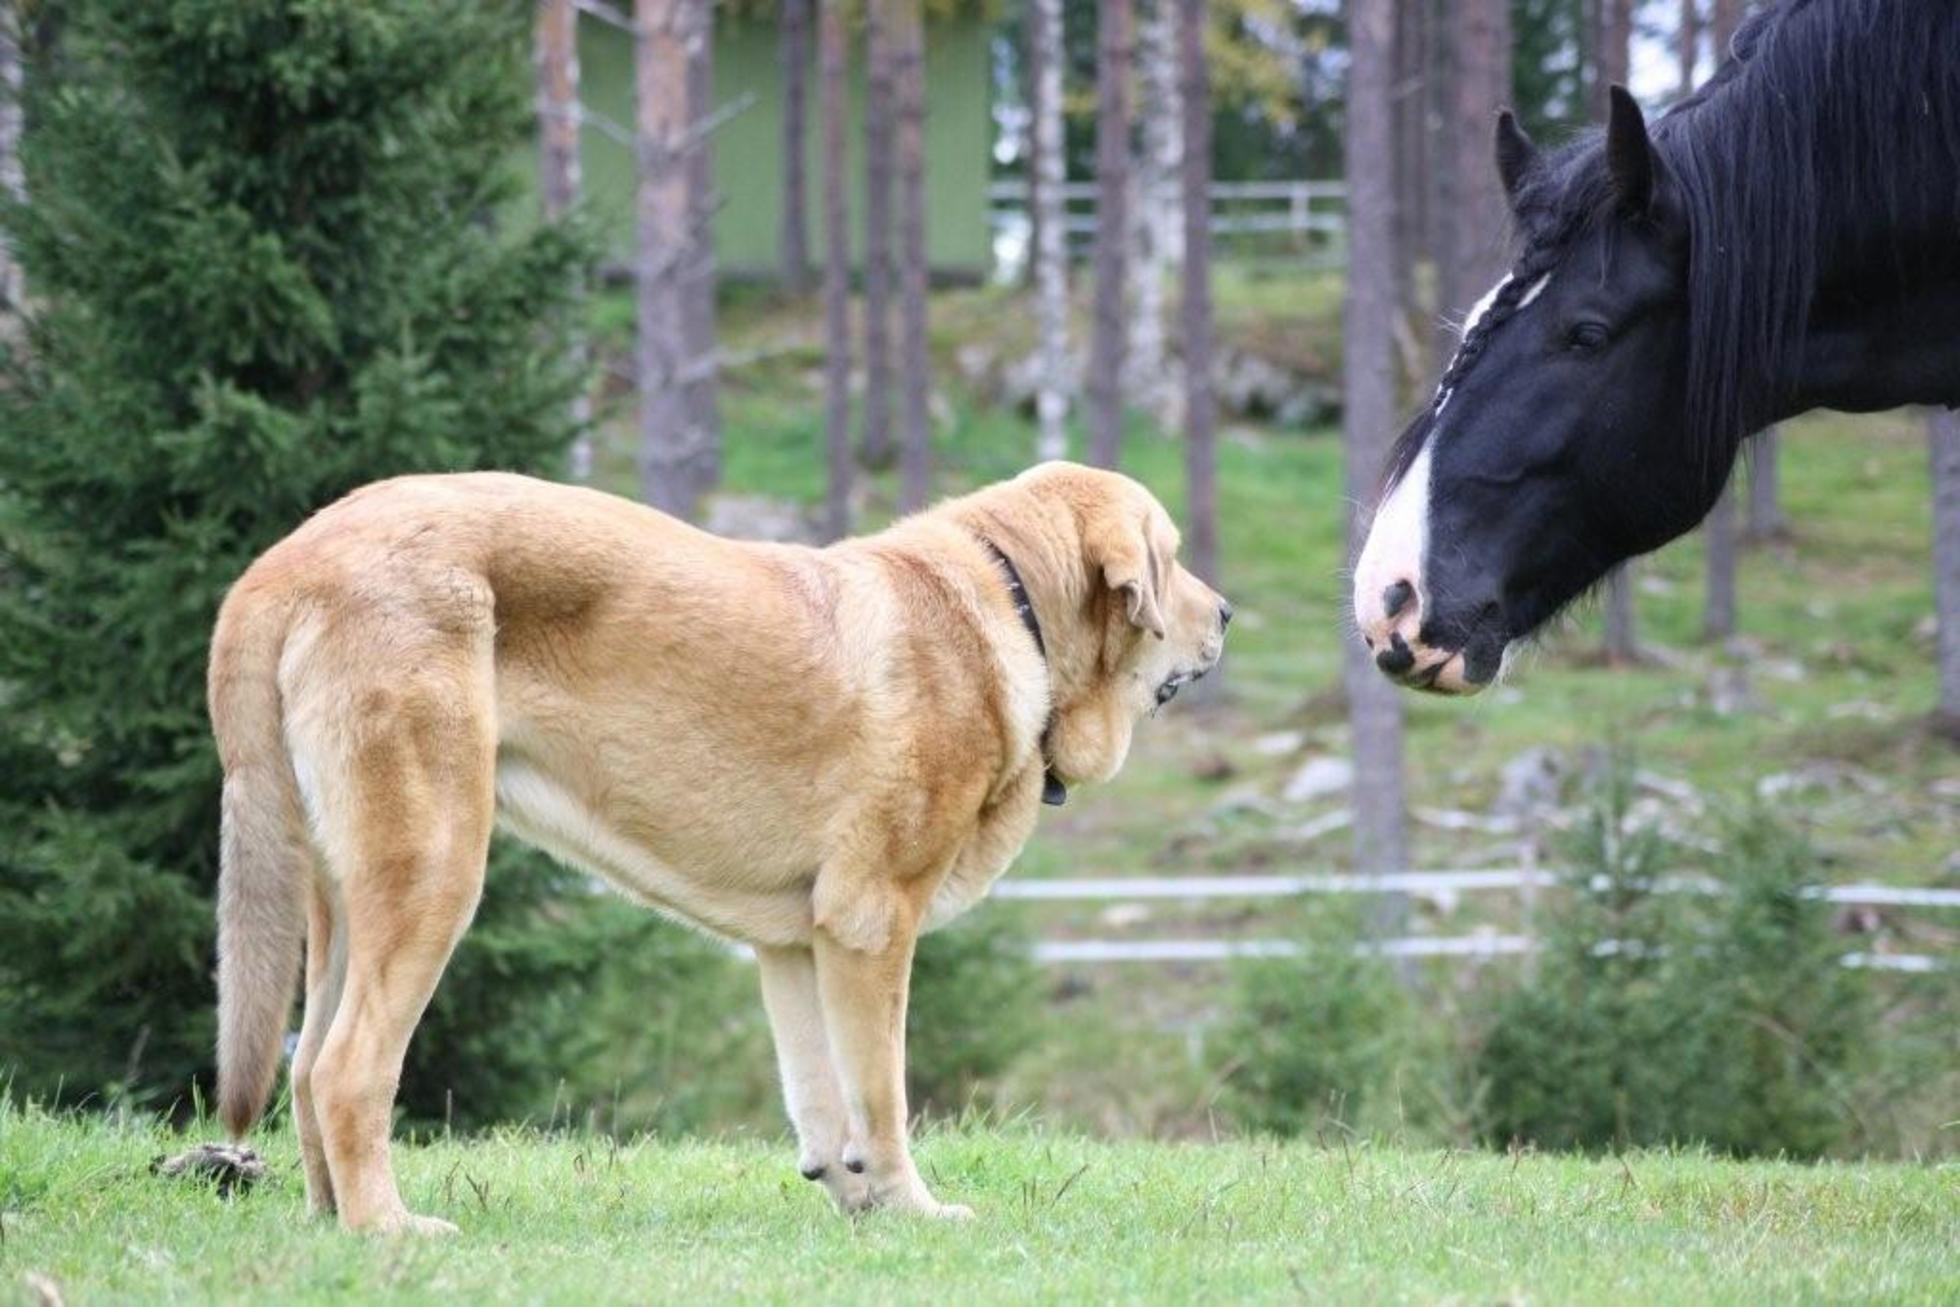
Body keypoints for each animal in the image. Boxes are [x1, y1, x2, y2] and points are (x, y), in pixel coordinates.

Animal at [210, 462, 1223, 1238]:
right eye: (1171, 560)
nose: (1227, 613)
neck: (1013, 613)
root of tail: (282, 565)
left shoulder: (799, 943)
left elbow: (821, 1096)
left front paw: (856, 1200)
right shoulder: (873, 923)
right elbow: (882, 1096)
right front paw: (913, 1209)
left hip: (344, 899)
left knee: (304, 1066)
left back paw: (331, 1222)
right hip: (434, 872)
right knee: (349, 1070)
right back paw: (390, 1227)